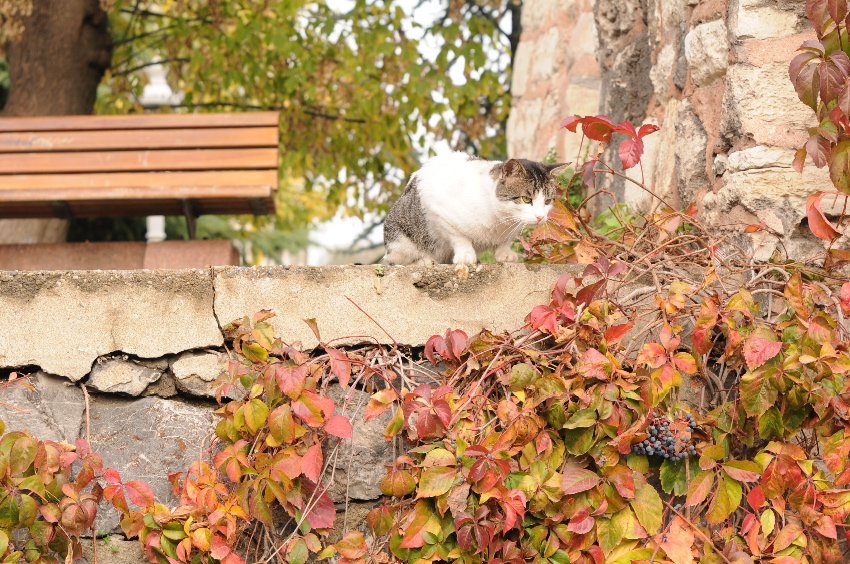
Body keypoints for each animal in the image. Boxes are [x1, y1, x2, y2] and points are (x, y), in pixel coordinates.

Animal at [383, 152, 568, 265]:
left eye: (548, 201)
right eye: (526, 199)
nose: (540, 217)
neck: (500, 222)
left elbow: (505, 242)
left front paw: (505, 254)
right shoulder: (439, 211)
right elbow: (459, 237)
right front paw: (466, 256)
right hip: (401, 241)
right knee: (396, 260)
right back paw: (425, 261)